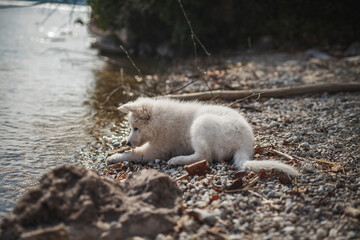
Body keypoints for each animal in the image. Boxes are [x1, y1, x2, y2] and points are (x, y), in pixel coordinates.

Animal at [107, 96, 300, 175]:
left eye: (135, 128)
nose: (127, 142)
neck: (159, 121)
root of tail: (245, 144)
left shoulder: (156, 149)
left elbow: (134, 154)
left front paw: (115, 156)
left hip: (201, 123)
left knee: (205, 156)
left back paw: (177, 160)